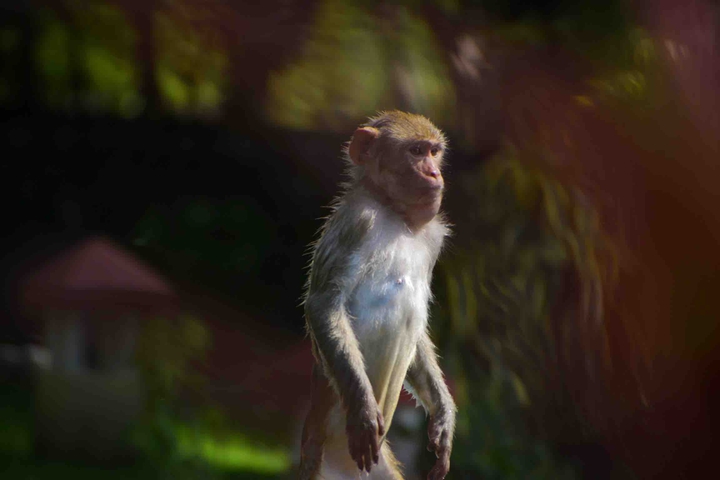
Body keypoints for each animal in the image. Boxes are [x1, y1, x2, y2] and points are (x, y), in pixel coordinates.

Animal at [299, 111, 456, 480]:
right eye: (416, 151)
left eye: (434, 151)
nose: (434, 173)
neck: (394, 214)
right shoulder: (357, 222)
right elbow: (324, 304)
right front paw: (364, 411)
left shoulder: (433, 241)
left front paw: (444, 416)